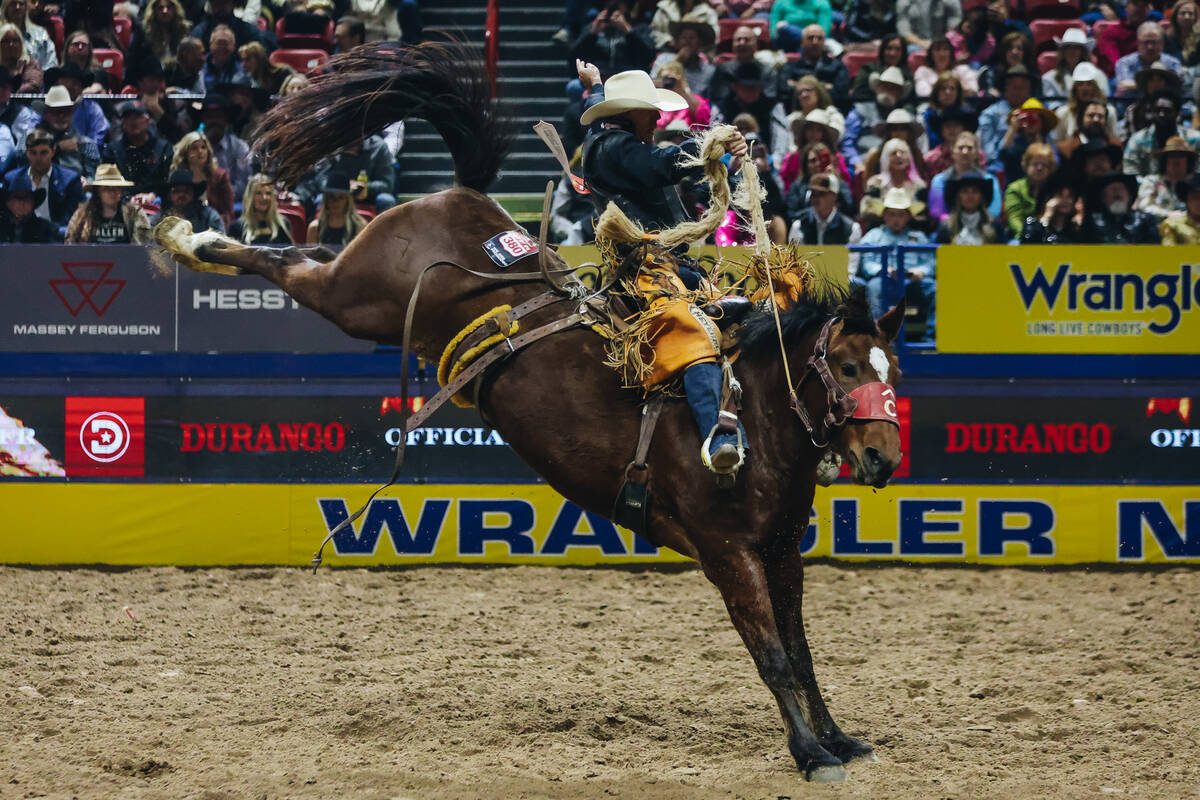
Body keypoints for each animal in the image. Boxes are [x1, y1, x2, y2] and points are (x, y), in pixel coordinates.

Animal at [152, 42, 902, 782]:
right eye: (847, 367)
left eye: (892, 370)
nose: (883, 456)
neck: (763, 424)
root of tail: (459, 193)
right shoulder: (728, 553)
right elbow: (771, 654)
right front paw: (809, 754)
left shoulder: (781, 552)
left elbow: (801, 652)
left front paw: (837, 739)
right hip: (354, 296)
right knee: (289, 264)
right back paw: (186, 236)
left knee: (303, 252)